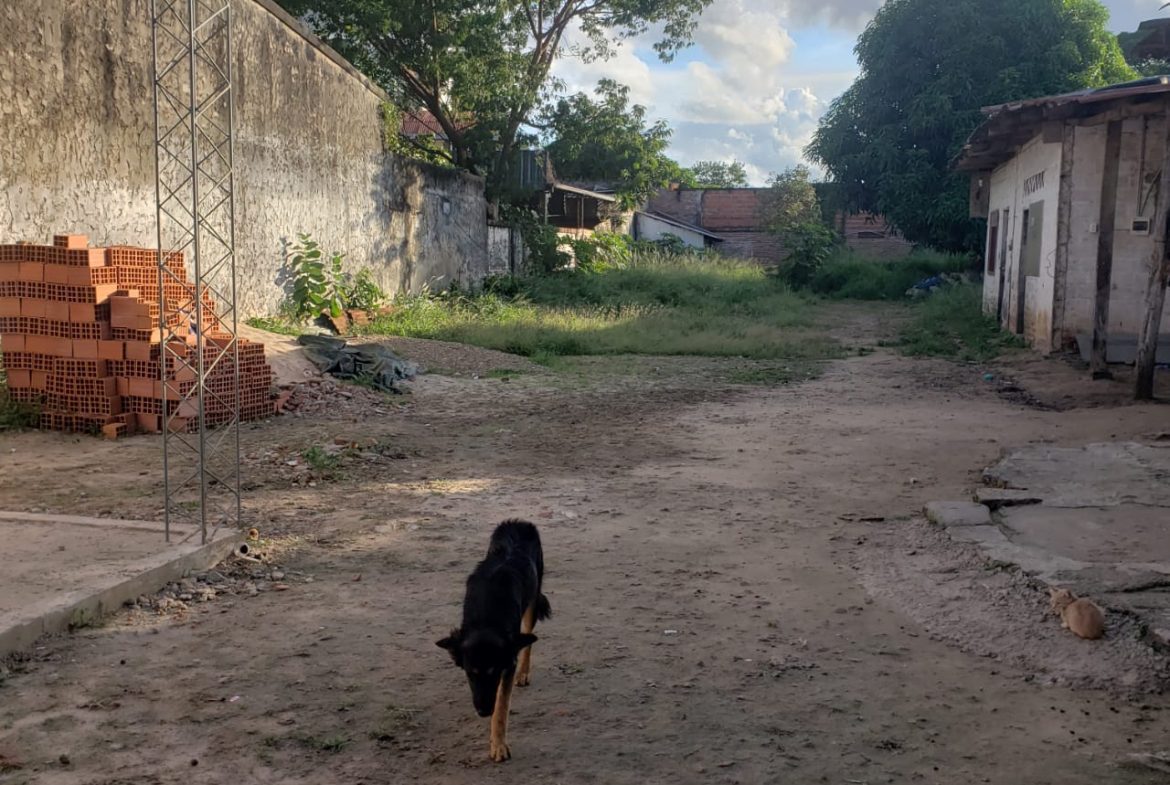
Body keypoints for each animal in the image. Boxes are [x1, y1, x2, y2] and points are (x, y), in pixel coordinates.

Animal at [437, 519, 551, 762]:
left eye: (494, 672)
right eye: (470, 674)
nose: (482, 712)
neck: (486, 617)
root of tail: (519, 522)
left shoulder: (508, 662)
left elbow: (501, 706)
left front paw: (498, 745)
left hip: (532, 600)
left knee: (528, 640)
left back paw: (524, 674)